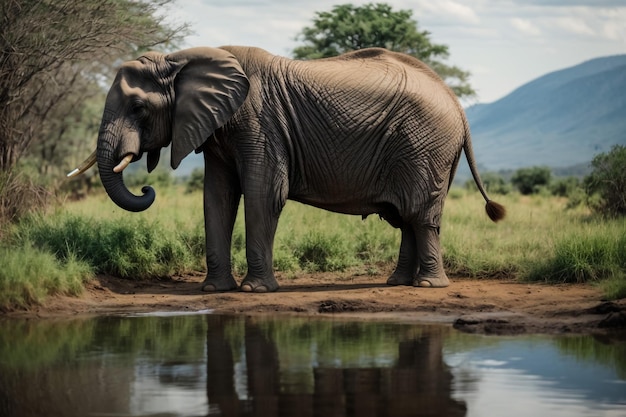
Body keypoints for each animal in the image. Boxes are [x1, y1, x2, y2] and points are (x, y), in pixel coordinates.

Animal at [69, 45, 502, 292]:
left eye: (138, 108)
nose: (147, 189)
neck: (180, 60)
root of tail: (455, 102)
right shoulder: (216, 127)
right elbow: (218, 197)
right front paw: (214, 291)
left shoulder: (260, 121)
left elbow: (263, 193)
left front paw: (254, 291)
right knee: (407, 218)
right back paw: (397, 284)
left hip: (424, 146)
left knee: (419, 214)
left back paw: (428, 286)